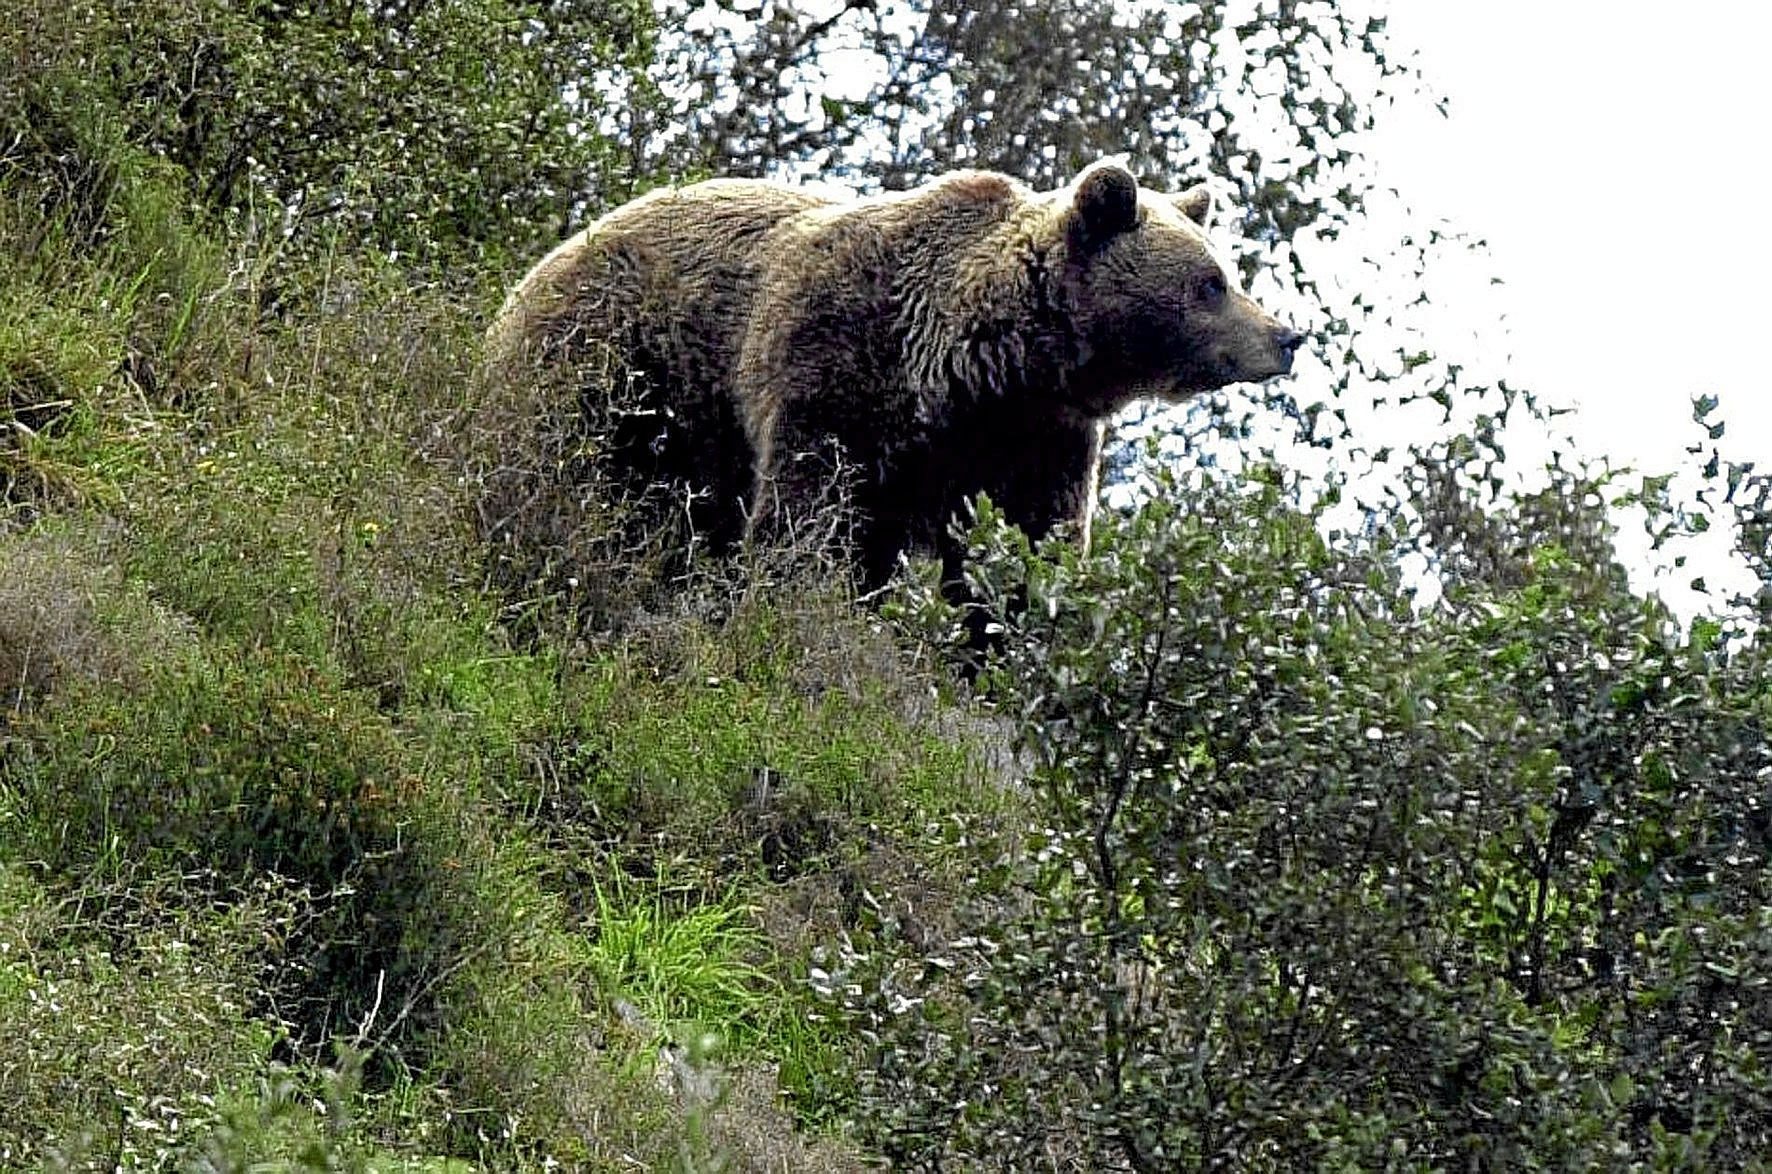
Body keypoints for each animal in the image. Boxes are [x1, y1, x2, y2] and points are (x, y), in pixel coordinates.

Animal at [485, 161, 1301, 598]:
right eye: (1211, 283)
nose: (1285, 337)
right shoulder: (838, 365)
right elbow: (809, 513)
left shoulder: (1038, 441)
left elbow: (1028, 550)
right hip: (618, 366)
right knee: (566, 466)